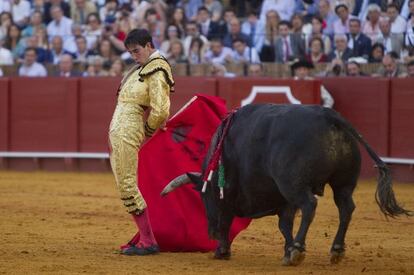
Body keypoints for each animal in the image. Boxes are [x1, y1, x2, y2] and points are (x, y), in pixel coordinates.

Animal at [159, 103, 410, 266]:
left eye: (204, 197)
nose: (209, 233)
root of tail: (329, 116)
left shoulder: (231, 196)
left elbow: (228, 221)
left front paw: (222, 251)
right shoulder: (283, 200)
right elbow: (284, 224)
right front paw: (287, 250)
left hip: (294, 185)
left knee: (310, 205)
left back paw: (299, 249)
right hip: (343, 183)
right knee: (346, 208)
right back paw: (336, 250)